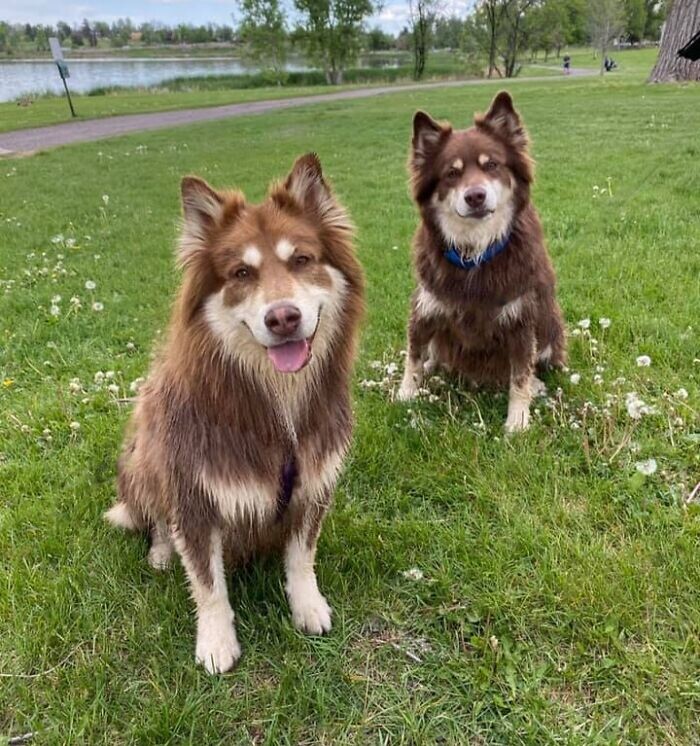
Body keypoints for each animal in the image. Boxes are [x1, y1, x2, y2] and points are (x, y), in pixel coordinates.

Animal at [106, 154, 366, 672]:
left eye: (301, 260)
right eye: (242, 273)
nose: (282, 318)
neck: (276, 405)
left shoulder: (315, 481)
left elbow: (301, 557)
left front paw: (308, 606)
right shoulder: (193, 493)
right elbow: (208, 584)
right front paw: (216, 642)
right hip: (145, 456)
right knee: (154, 517)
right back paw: (161, 552)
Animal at [396, 91, 568, 430]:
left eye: (492, 165)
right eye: (452, 173)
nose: (475, 196)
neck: (474, 253)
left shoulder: (521, 319)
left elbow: (520, 376)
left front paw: (517, 421)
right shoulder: (425, 308)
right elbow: (414, 357)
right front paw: (406, 394)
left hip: (551, 324)